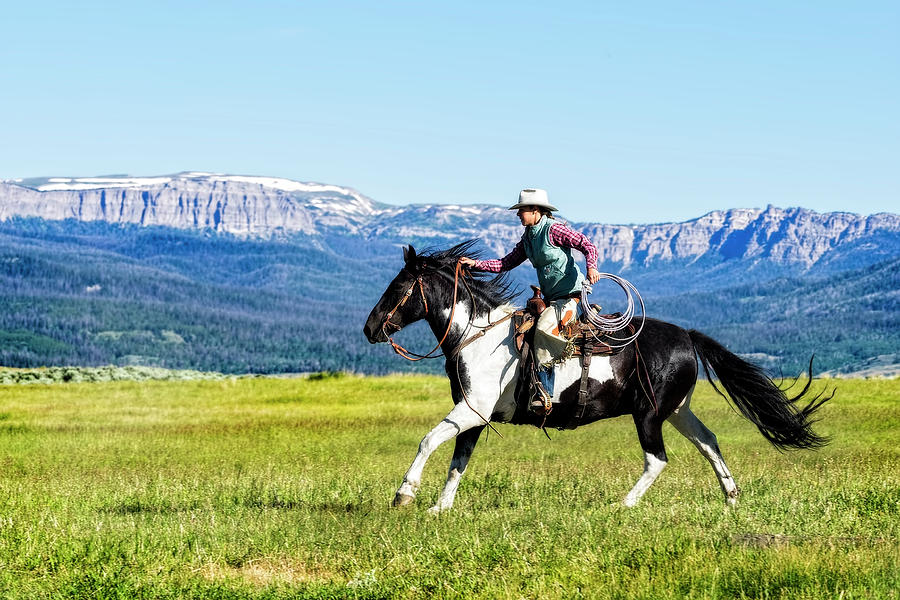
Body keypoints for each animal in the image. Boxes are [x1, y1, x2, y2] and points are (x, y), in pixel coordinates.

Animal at [362, 241, 832, 512]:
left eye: (397, 287)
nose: (369, 329)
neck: (478, 336)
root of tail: (687, 335)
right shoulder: (475, 415)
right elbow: (459, 460)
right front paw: (439, 509)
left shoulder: (470, 410)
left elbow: (429, 441)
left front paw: (404, 495)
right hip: (677, 411)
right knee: (709, 442)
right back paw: (731, 497)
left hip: (649, 415)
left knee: (657, 459)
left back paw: (623, 505)